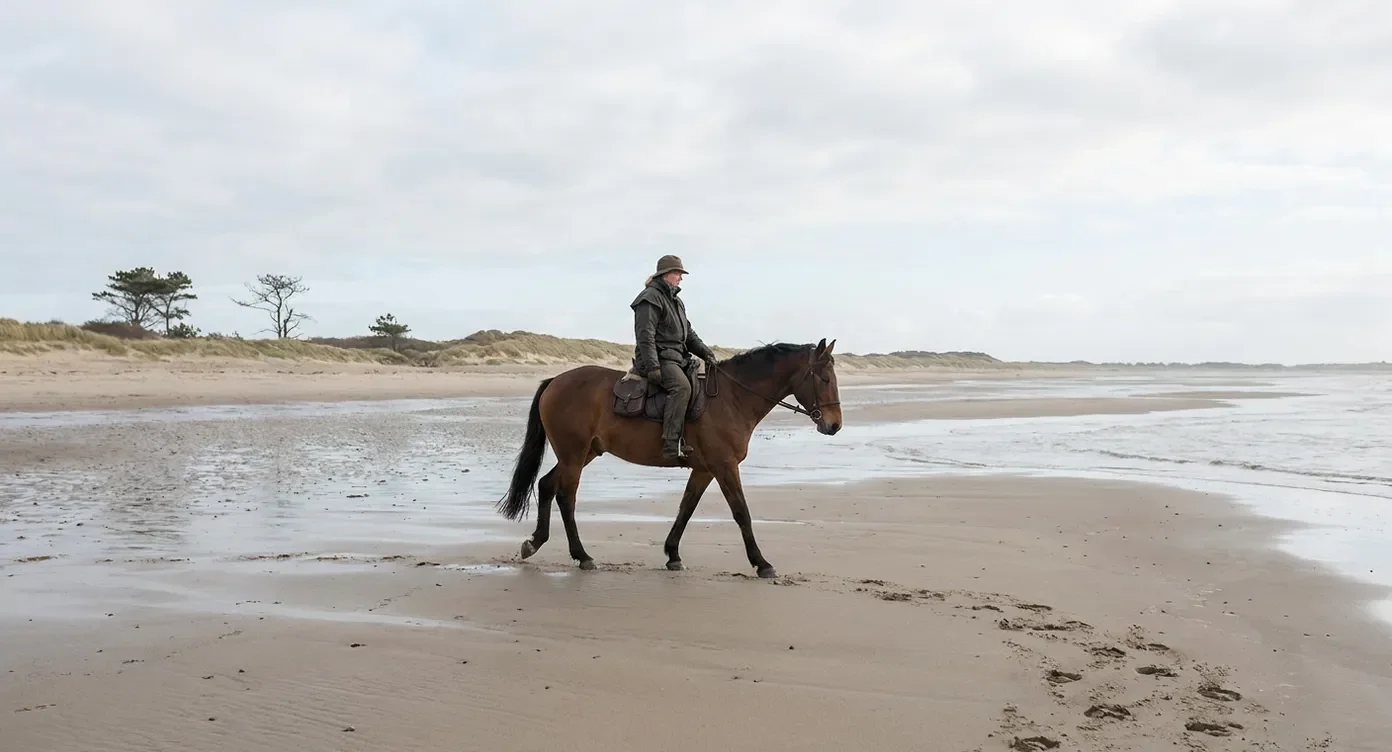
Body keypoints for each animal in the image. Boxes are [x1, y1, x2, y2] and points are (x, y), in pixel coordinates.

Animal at [494, 338, 843, 578]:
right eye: (825, 379)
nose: (835, 425)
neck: (732, 398)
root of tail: (555, 381)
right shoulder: (724, 466)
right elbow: (741, 512)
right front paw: (761, 563)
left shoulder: (704, 469)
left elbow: (686, 509)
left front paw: (673, 554)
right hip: (574, 454)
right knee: (565, 496)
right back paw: (582, 555)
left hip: (584, 453)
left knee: (546, 485)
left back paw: (535, 542)